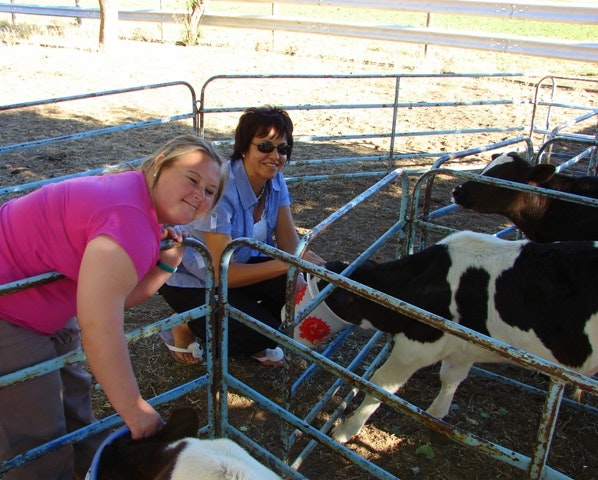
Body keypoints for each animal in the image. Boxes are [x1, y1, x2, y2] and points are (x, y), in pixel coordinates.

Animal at [326, 230, 598, 444]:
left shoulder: (418, 344)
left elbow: (380, 384)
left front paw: (346, 429)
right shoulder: (464, 344)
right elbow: (450, 377)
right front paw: (436, 414)